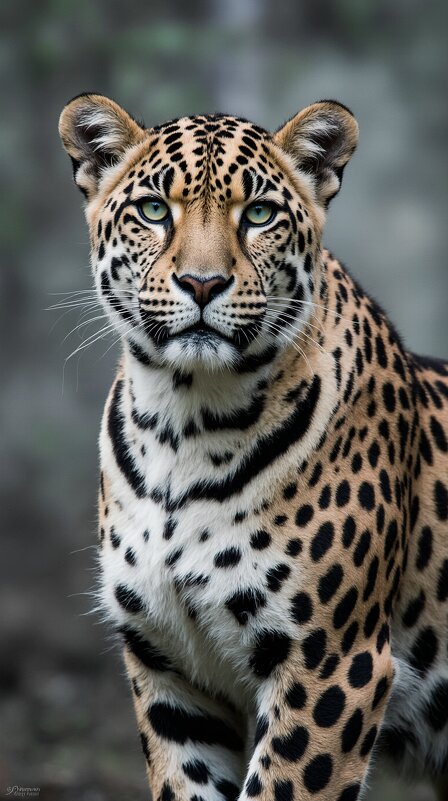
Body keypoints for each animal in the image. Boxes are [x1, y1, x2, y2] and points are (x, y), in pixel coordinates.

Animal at [59, 93, 448, 801]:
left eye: (259, 215)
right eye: (154, 210)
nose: (202, 283)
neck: (183, 423)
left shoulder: (333, 666)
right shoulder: (168, 667)